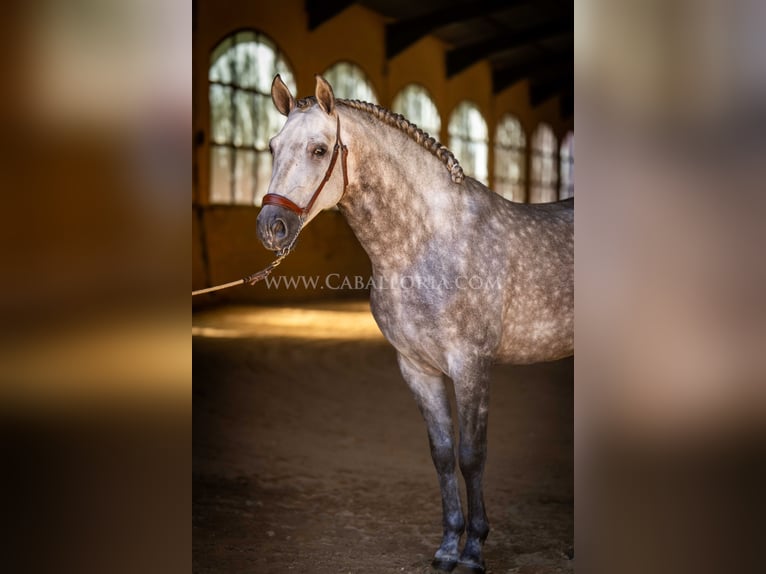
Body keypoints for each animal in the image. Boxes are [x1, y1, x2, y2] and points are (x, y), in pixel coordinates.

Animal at [258, 76, 576, 574]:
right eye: (273, 146)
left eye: (319, 149)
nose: (271, 226)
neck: (427, 241)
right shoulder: (417, 368)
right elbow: (442, 455)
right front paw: (448, 547)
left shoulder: (471, 365)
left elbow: (472, 456)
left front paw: (474, 550)